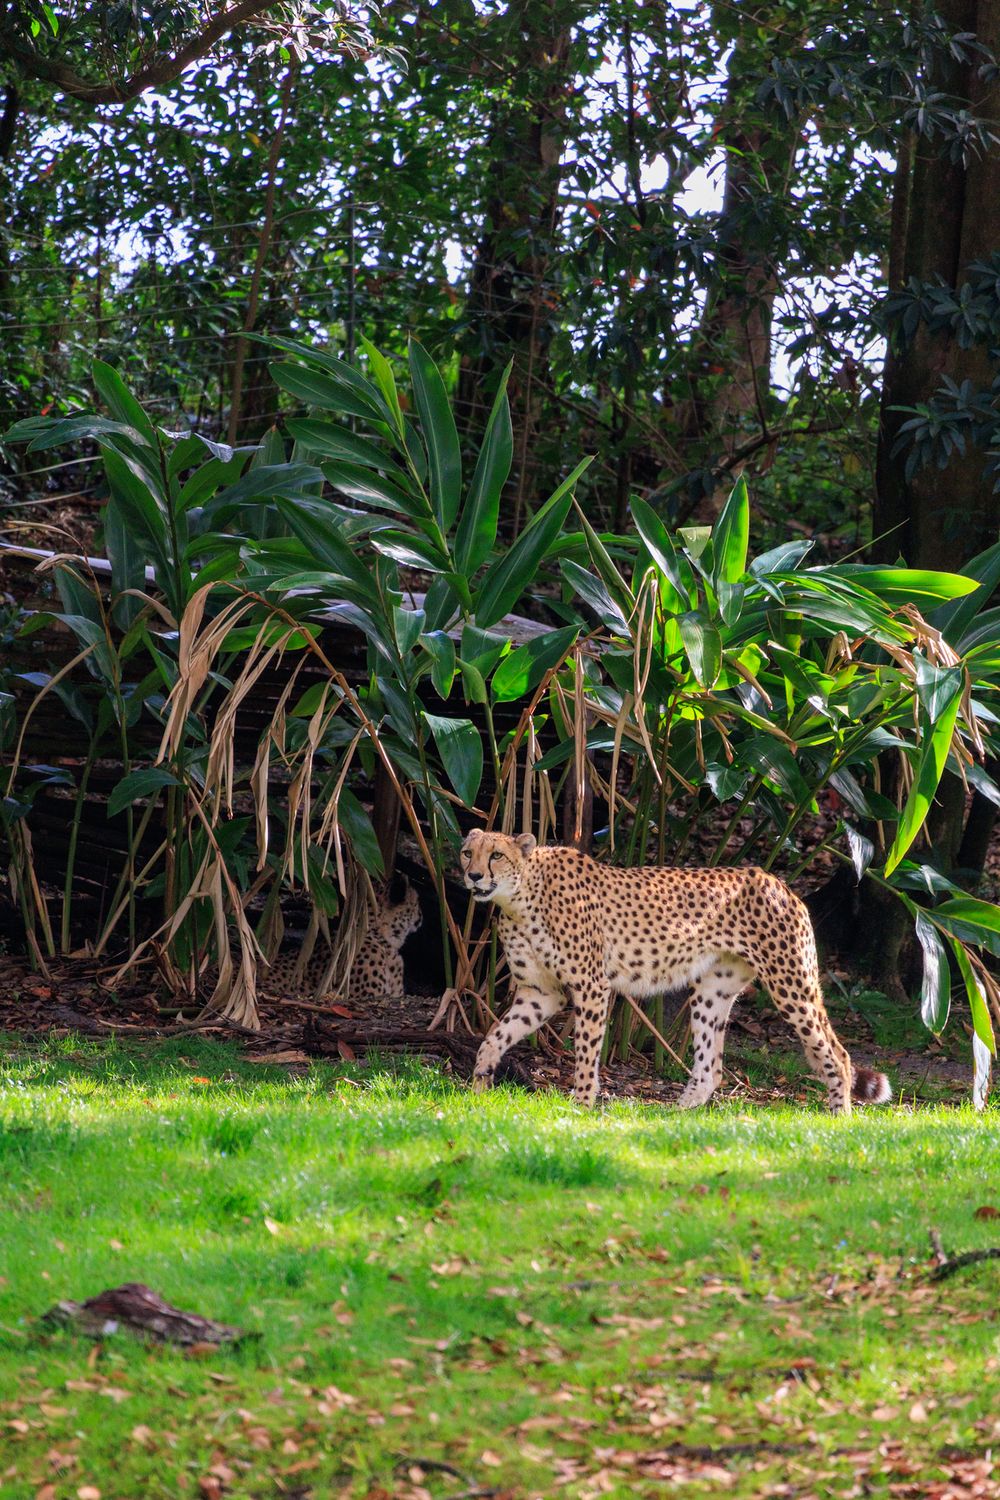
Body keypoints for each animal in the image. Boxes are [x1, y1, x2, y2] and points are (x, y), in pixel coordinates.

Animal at [459, 830, 891, 1114]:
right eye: (467, 853)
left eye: (495, 856)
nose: (474, 876)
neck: (519, 900)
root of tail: (776, 880)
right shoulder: (540, 992)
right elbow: (495, 1036)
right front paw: (479, 1087)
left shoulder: (591, 987)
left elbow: (585, 1050)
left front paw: (580, 1104)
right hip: (712, 992)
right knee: (711, 1068)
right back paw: (674, 1117)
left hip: (791, 985)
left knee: (837, 1054)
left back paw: (838, 1118)